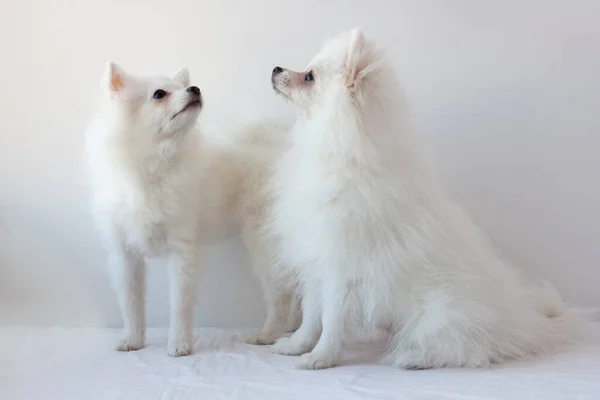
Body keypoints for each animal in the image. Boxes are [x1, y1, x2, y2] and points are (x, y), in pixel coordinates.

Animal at [83, 64, 298, 358]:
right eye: (159, 94)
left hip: (264, 242)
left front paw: (179, 344)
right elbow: (131, 302)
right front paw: (133, 339)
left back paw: (268, 334)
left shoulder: (182, 250)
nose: (194, 88)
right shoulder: (124, 254)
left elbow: (180, 304)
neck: (155, 164)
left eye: (183, 87)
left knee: (281, 294)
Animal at [268, 28, 592, 372]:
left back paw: (413, 357)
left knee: (470, 349)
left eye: (309, 76)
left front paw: (320, 358)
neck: (338, 150)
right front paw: (296, 346)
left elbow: (330, 321)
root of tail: (526, 320)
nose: (275, 69)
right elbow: (311, 315)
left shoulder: (341, 270)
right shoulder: (316, 261)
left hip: (441, 315)